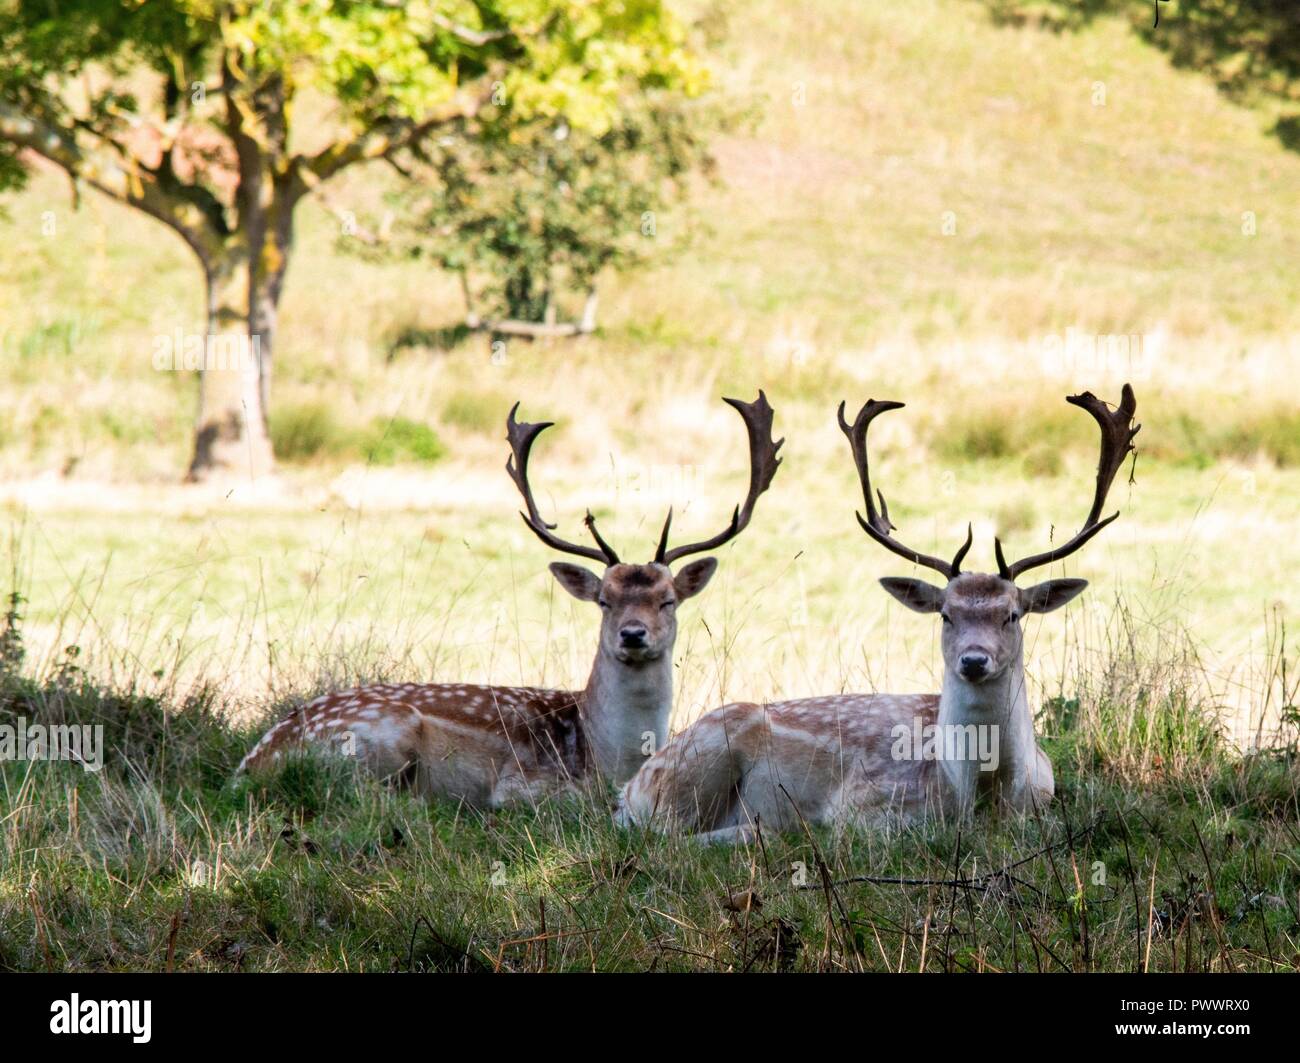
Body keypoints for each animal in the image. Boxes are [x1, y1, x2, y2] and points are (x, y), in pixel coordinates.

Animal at [236, 392, 780, 805]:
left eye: (668, 600)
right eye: (604, 600)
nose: (632, 634)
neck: (609, 754)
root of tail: (254, 762)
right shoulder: (521, 785)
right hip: (383, 732)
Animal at [618, 384, 1138, 842]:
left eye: (1013, 614)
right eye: (946, 614)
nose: (973, 660)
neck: (980, 797)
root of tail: (629, 786)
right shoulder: (860, 806)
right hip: (694, 767)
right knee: (666, 835)